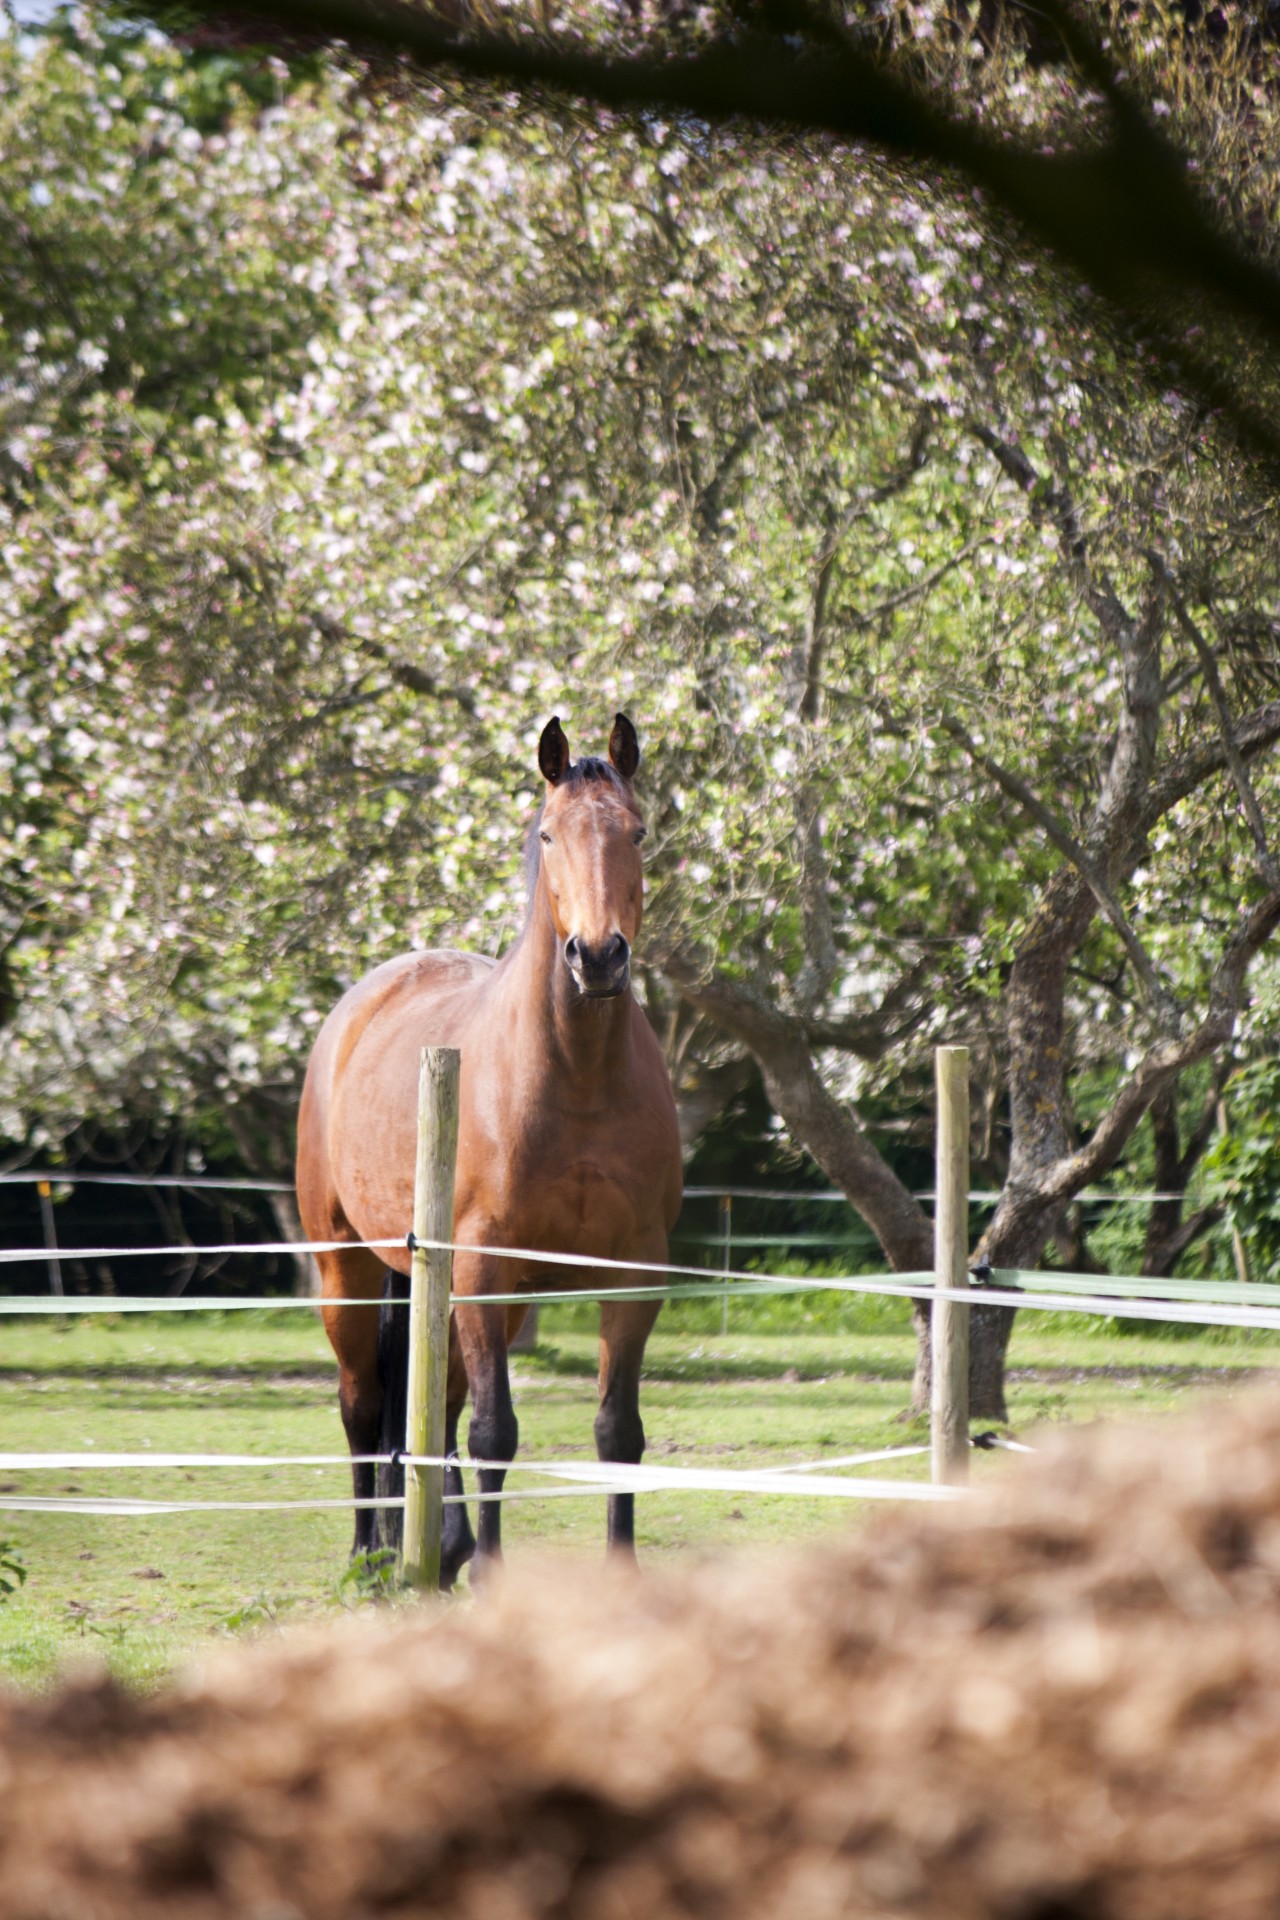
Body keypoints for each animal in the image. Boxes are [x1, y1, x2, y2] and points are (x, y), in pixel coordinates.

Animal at [297, 721, 687, 1589]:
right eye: (549, 835)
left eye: (637, 832)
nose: (598, 957)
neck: (577, 1075)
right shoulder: (481, 1263)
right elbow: (494, 1431)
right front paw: (493, 1575)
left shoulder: (634, 1270)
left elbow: (618, 1433)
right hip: (347, 1267)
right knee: (362, 1402)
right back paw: (369, 1554)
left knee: (436, 1399)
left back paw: (438, 1548)